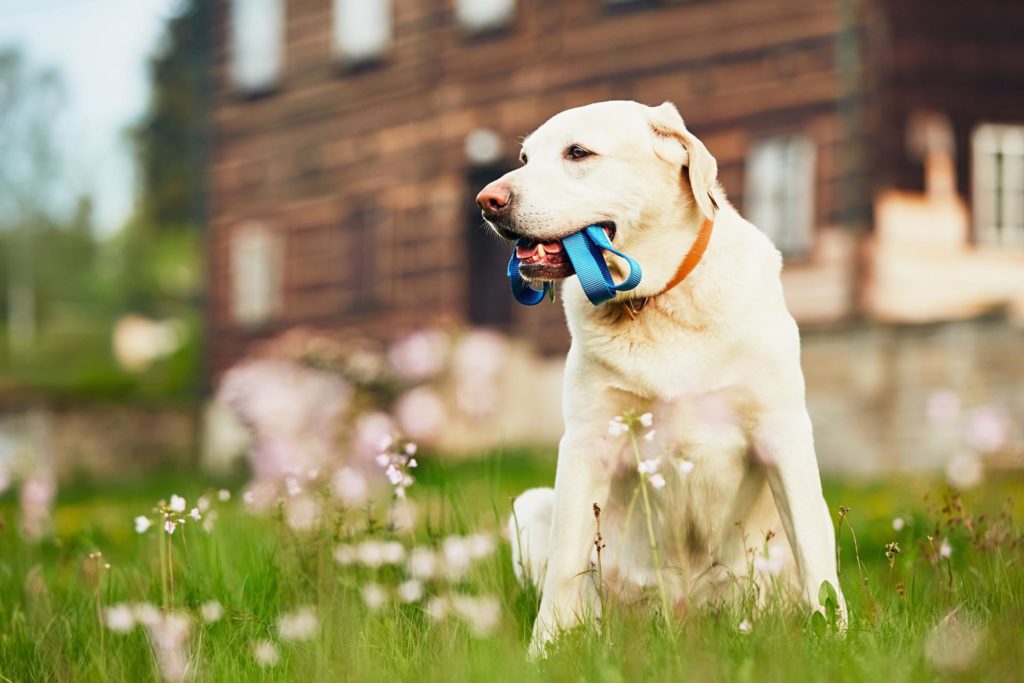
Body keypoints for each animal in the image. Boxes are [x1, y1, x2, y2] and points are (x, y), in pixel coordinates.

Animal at [475, 101, 843, 655]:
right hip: (533, 506)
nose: (487, 201)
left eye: (578, 152)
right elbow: (565, 566)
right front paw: (542, 652)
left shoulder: (782, 434)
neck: (657, 302)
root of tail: (684, 619)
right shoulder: (587, 443)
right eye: (523, 158)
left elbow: (817, 558)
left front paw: (841, 640)